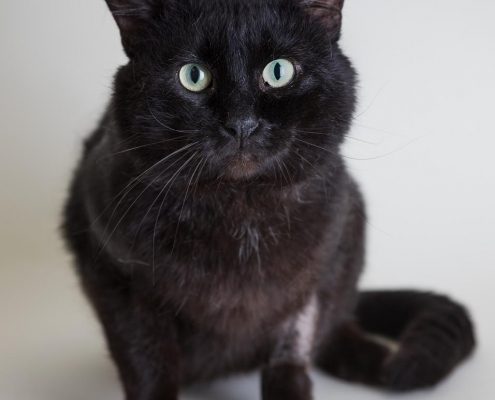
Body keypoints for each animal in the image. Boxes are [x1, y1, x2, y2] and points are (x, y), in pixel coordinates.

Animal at [63, 1, 476, 398]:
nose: (242, 123)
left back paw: (385, 363)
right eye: (193, 76)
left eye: (279, 71)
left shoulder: (317, 270)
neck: (241, 211)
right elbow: (147, 365)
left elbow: (292, 351)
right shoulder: (115, 276)